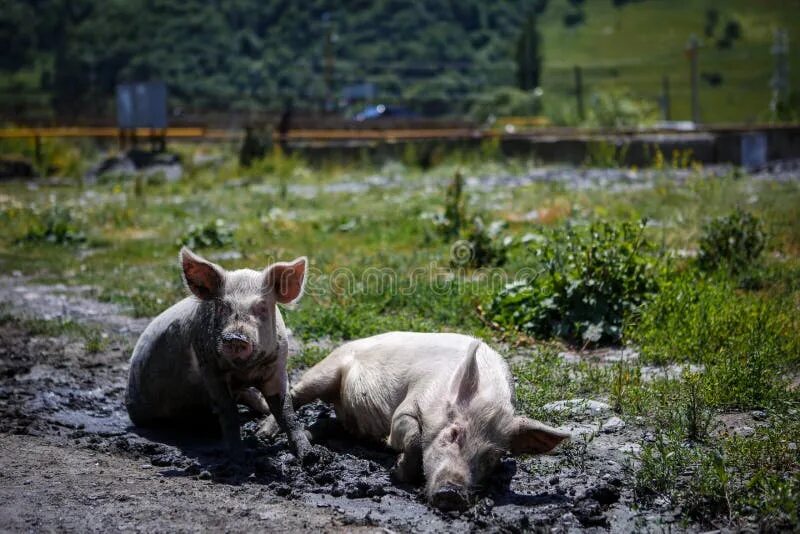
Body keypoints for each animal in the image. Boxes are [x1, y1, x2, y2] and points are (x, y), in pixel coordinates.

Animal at [126, 249, 312, 462]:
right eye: (223, 307)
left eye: (262, 306)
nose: (235, 337)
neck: (245, 371)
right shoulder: (209, 368)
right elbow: (228, 412)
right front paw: (238, 458)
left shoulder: (277, 367)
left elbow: (287, 412)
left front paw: (309, 456)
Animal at [266, 332, 572, 512]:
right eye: (453, 433)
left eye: (492, 457)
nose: (452, 493)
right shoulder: (409, 406)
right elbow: (411, 436)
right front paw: (397, 470)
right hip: (327, 368)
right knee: (293, 394)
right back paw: (265, 433)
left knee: (329, 423)